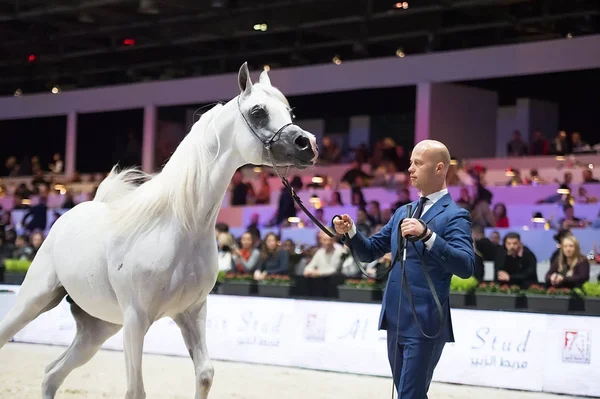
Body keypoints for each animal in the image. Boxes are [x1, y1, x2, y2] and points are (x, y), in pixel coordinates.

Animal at [0, 62, 318, 399]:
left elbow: (205, 374)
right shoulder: (136, 320)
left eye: (289, 111)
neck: (179, 227)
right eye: (258, 112)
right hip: (35, 299)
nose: (307, 144)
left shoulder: (192, 312)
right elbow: (136, 391)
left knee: (52, 373)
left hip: (98, 327)